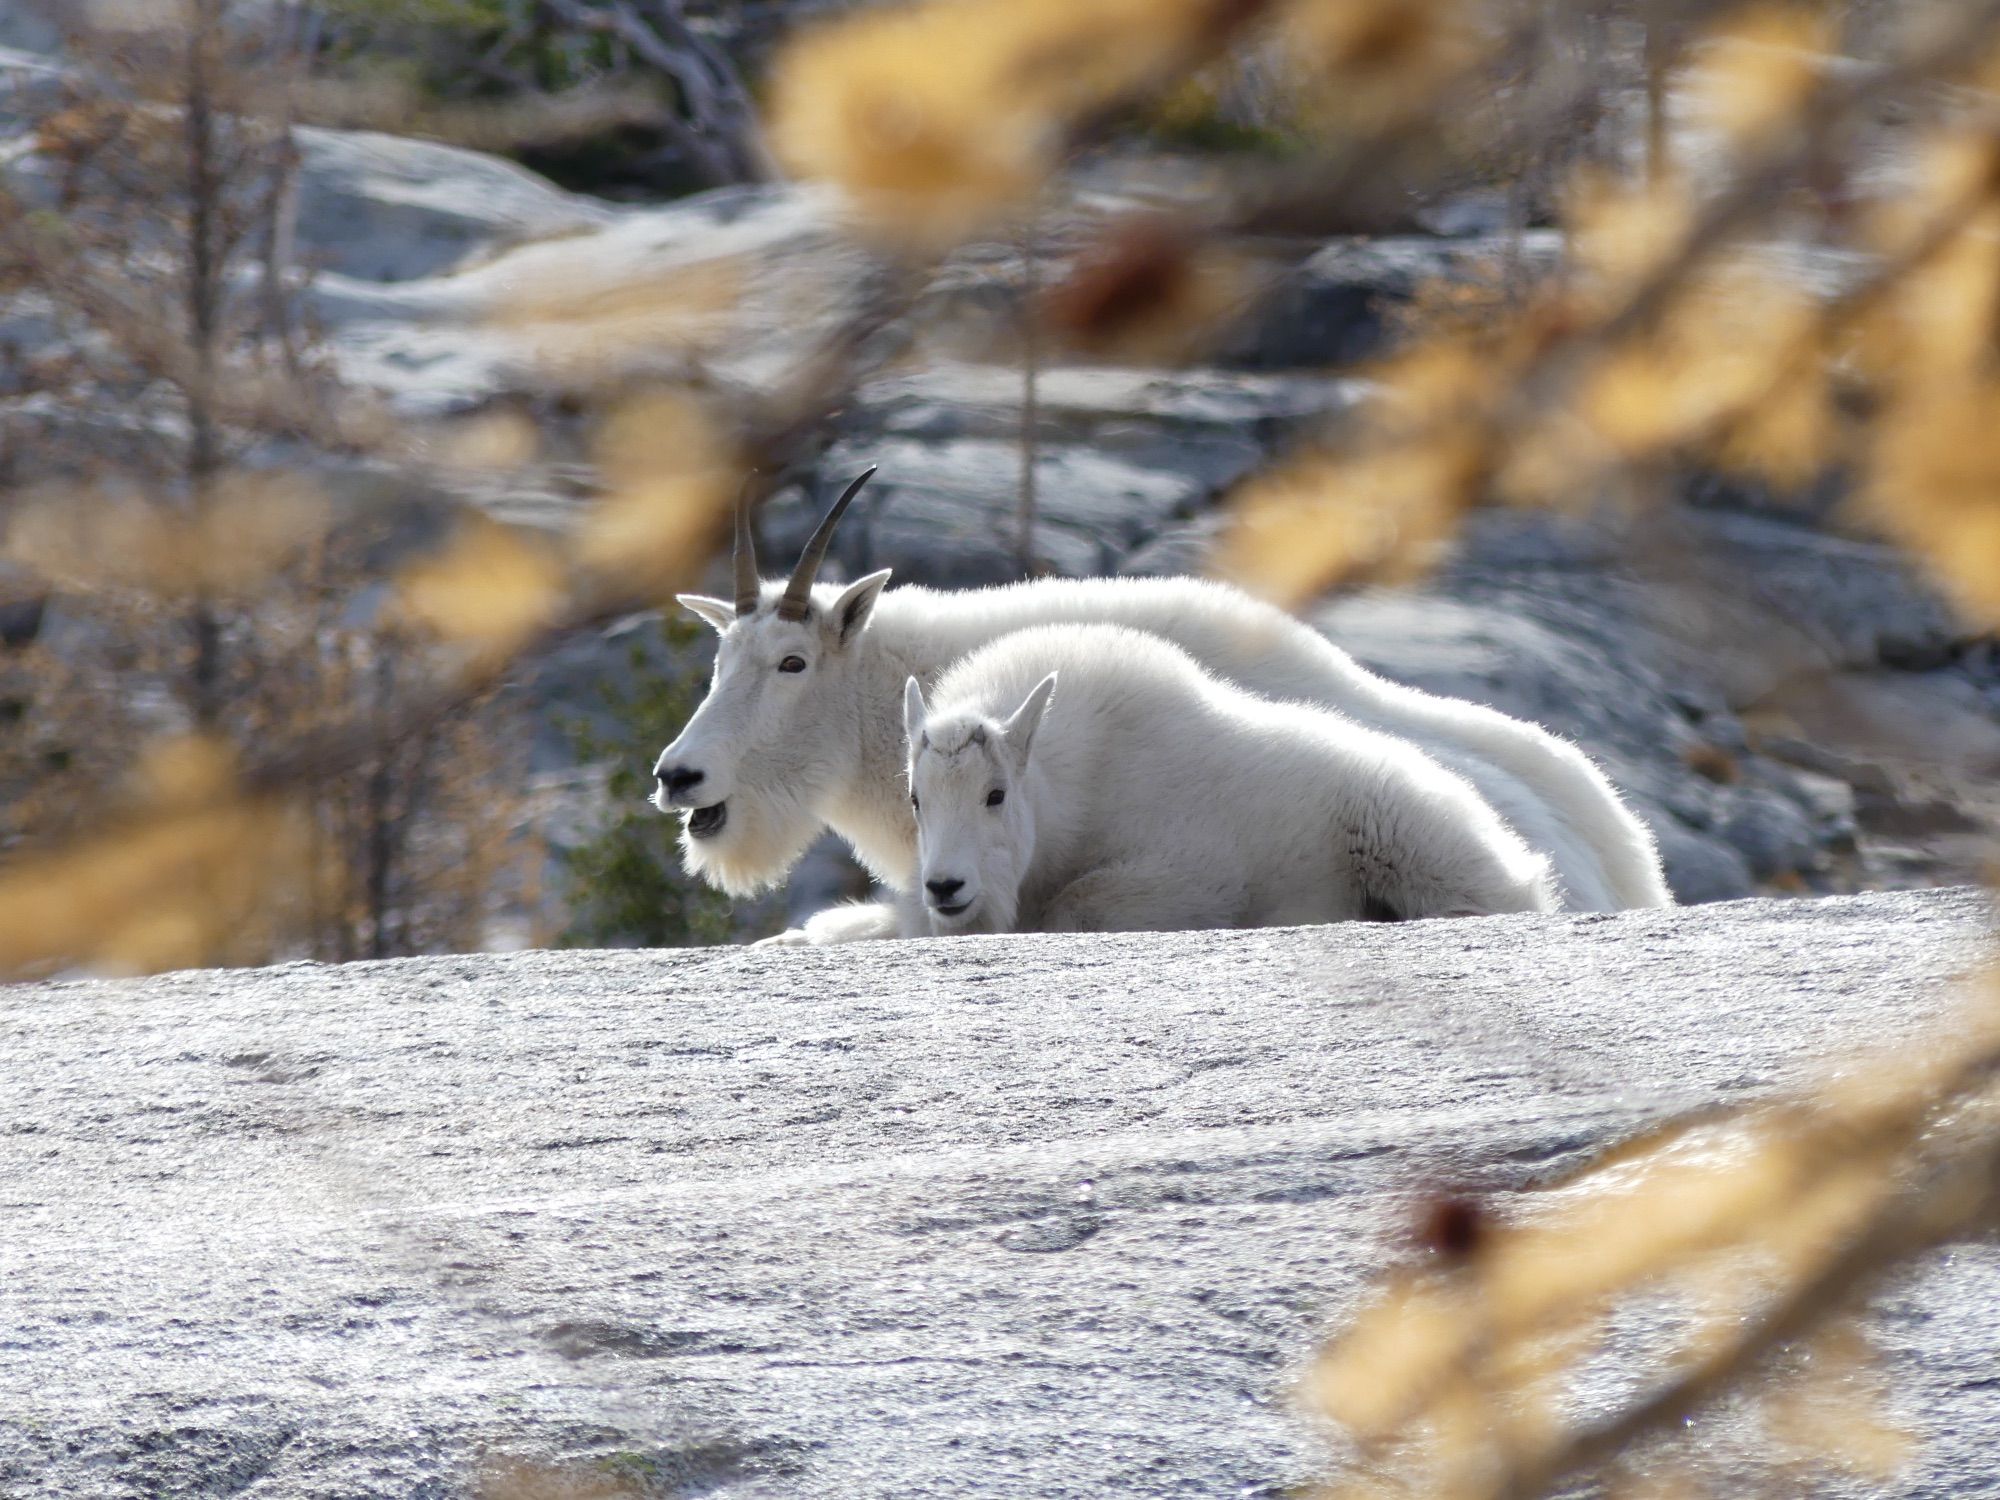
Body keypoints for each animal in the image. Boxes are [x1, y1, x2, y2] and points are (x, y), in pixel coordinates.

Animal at [900, 624, 1552, 940]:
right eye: (916, 799)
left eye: (995, 794)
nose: (945, 887)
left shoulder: (1197, 872)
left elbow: (1080, 907)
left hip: (1412, 843)